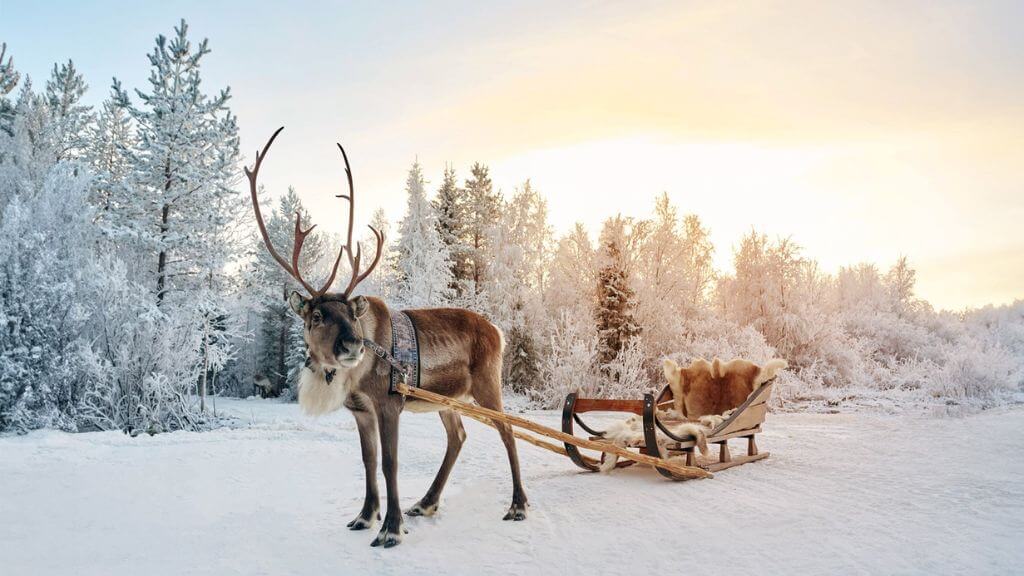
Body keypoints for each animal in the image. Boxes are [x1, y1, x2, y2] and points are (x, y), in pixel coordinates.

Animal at [245, 127, 527, 548]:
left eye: (352, 313)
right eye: (316, 316)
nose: (352, 346)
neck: (353, 379)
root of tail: (498, 331)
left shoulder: (388, 403)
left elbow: (391, 462)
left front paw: (391, 528)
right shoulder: (360, 410)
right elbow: (369, 460)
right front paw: (365, 516)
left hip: (486, 384)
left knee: (508, 431)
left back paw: (518, 505)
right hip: (448, 398)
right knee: (458, 436)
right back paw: (425, 503)